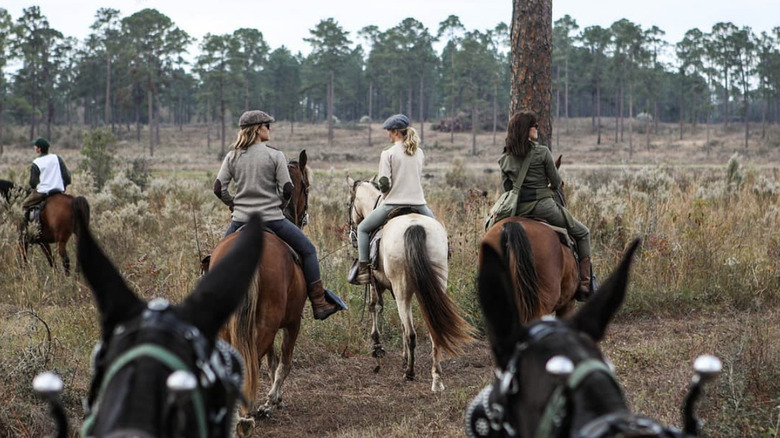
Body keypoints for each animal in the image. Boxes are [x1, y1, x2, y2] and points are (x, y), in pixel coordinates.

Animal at [210, 150, 314, 428]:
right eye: (306, 187)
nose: (305, 215)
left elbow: (272, 360)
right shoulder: (293, 322)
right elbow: (283, 362)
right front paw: (273, 400)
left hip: (230, 325)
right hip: (268, 321)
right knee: (252, 359)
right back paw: (247, 415)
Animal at [348, 176, 476, 392]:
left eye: (349, 203)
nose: (351, 233)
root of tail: (415, 227)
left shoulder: (377, 284)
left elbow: (375, 307)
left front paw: (377, 347)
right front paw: (402, 357)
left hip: (401, 291)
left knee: (411, 333)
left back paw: (410, 372)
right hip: (434, 285)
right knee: (433, 329)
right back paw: (436, 379)